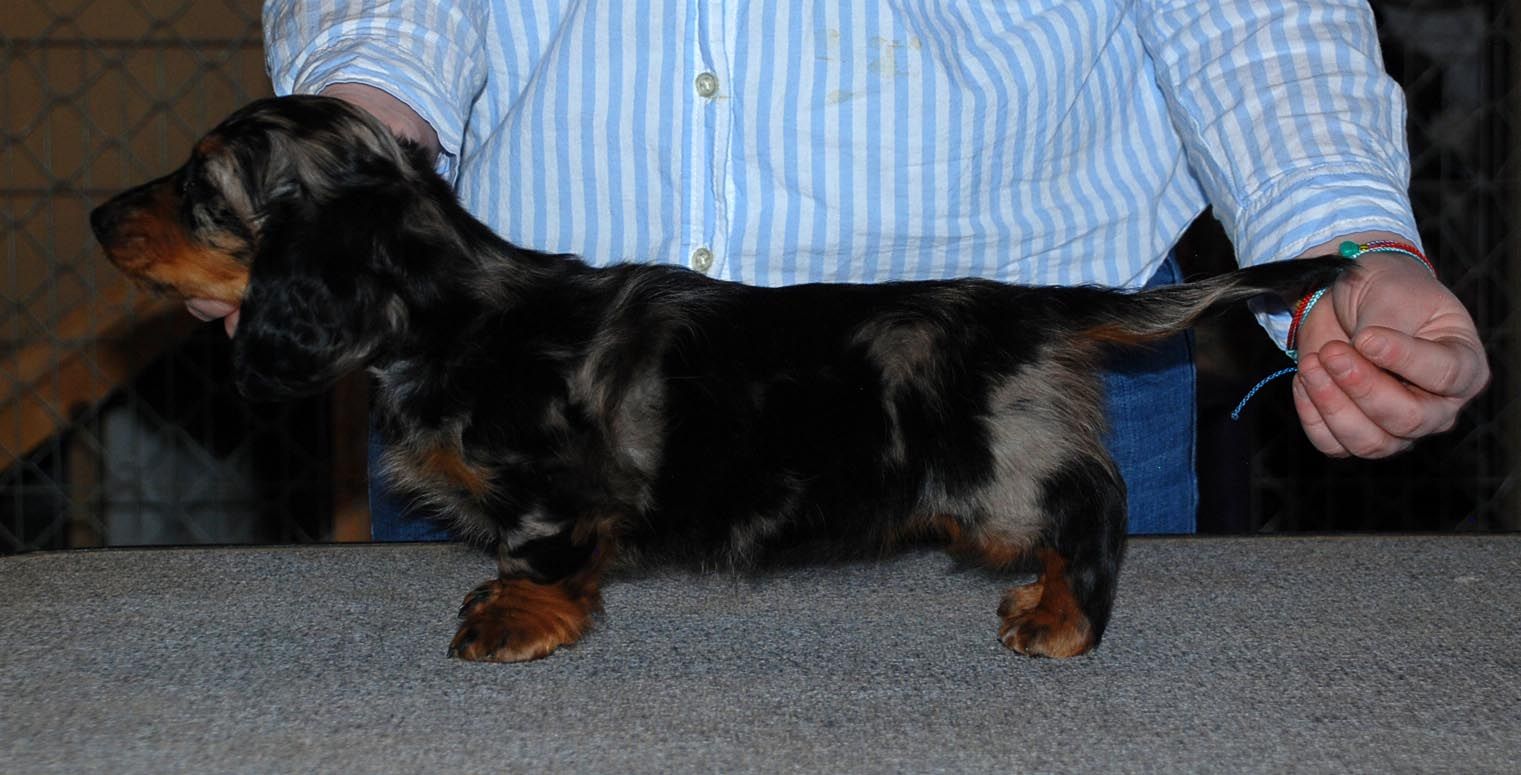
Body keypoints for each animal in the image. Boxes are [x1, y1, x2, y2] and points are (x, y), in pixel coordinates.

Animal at [91, 95, 1348, 661]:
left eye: (201, 190)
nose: (101, 214)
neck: (452, 307)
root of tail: (1038, 304)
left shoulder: (552, 488)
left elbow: (538, 553)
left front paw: (512, 619)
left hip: (998, 473)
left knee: (1098, 502)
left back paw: (1064, 615)